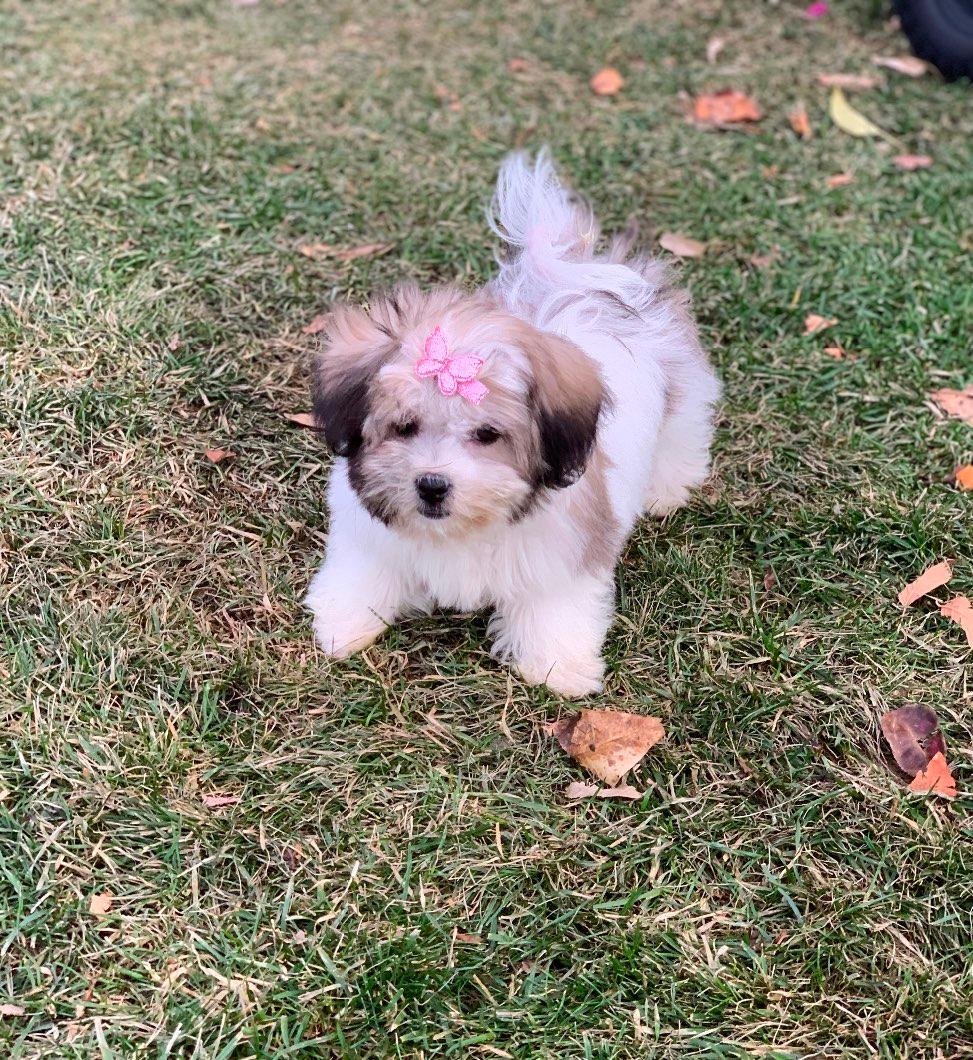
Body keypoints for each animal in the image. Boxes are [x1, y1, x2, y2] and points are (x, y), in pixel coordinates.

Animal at [309, 149, 720, 695]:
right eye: (405, 427)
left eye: (488, 435)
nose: (432, 485)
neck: (464, 530)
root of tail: (582, 277)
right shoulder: (369, 537)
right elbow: (364, 572)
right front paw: (343, 622)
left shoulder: (563, 553)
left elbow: (554, 607)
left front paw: (557, 666)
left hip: (685, 394)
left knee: (682, 434)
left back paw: (667, 490)